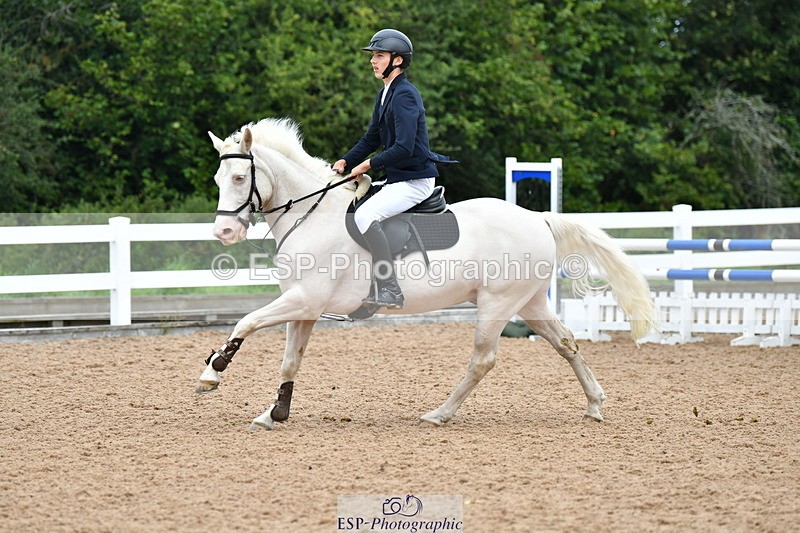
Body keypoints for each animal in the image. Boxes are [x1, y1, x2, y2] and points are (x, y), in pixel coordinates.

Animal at [197, 117, 657, 430]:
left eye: (240, 176)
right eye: (219, 178)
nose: (224, 232)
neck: (312, 215)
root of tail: (537, 218)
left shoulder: (303, 300)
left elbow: (246, 322)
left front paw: (212, 372)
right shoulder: (305, 307)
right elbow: (290, 361)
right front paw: (274, 413)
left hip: (497, 303)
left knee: (483, 360)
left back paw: (439, 413)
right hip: (529, 303)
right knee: (566, 344)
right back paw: (594, 404)